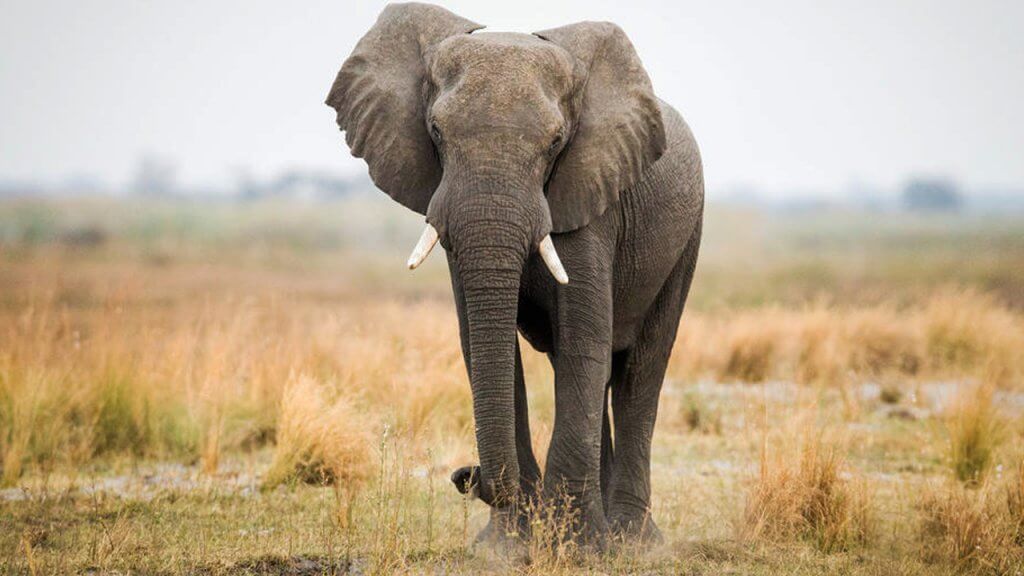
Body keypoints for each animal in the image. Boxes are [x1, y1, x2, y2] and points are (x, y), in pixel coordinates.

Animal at [326, 2, 703, 547]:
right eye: (435, 131)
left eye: (556, 141)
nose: (466, 475)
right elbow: (485, 342)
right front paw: (508, 547)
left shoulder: (590, 194)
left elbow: (584, 340)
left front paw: (576, 548)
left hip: (687, 236)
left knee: (639, 370)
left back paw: (631, 542)